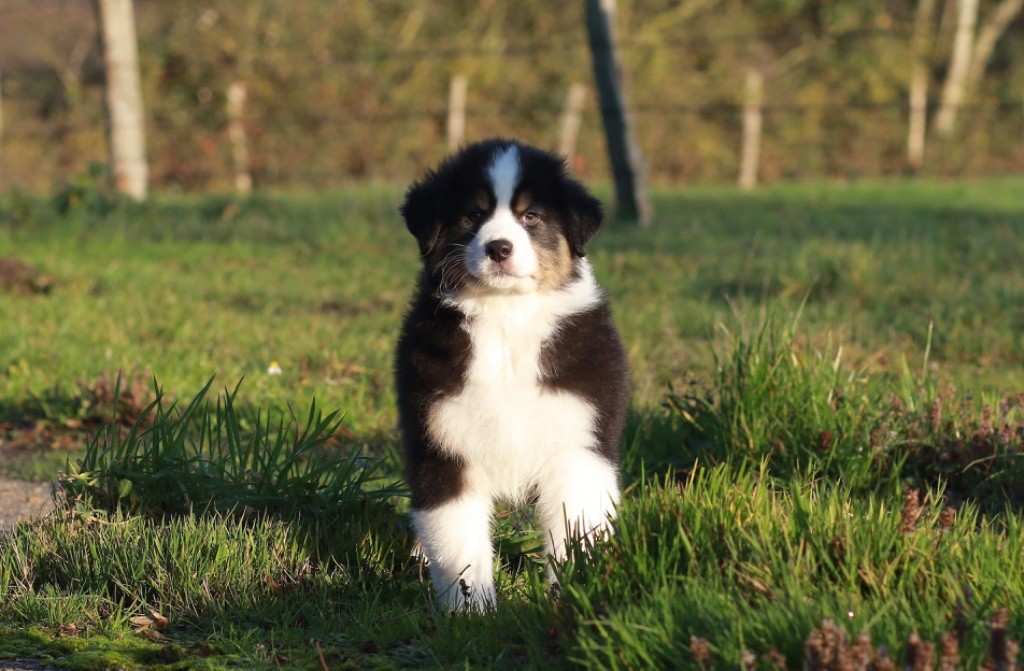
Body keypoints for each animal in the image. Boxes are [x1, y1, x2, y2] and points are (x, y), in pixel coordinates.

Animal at [395, 139, 628, 612]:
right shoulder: (443, 443)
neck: (505, 319)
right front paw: (471, 612)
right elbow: (458, 540)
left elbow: (577, 530)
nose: (499, 248)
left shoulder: (577, 442)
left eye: (531, 216)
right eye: (472, 215)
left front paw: (573, 596)